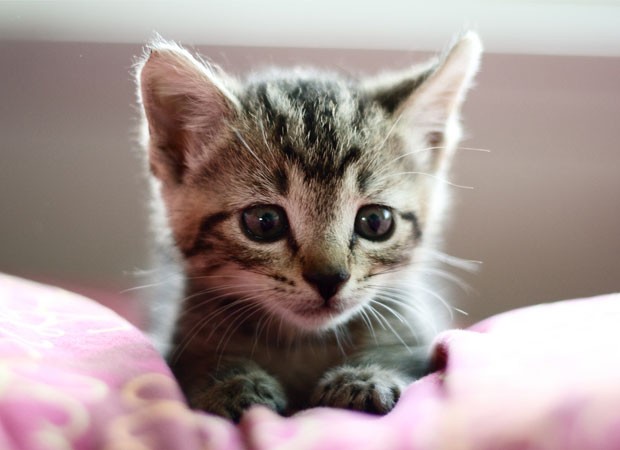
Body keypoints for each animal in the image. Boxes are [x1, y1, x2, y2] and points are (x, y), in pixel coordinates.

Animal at [137, 32, 480, 422]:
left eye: (376, 221)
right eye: (264, 222)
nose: (329, 279)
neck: (301, 342)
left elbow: (402, 353)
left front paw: (366, 376)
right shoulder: (183, 336)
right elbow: (200, 362)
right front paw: (232, 382)